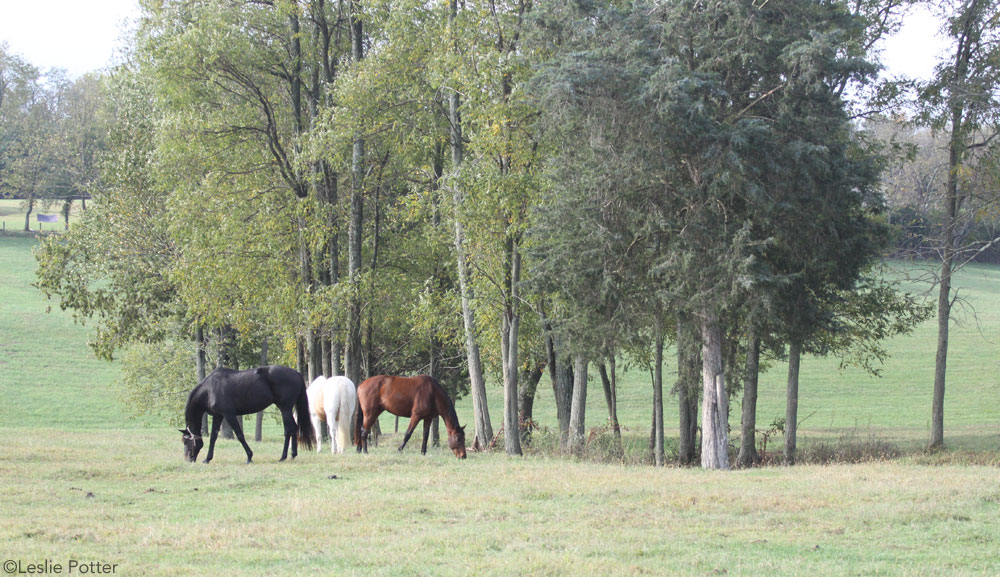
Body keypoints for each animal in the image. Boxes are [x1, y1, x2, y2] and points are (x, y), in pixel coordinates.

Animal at [181, 364, 316, 464]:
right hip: (287, 410)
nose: (188, 460)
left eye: (185, 442)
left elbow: (240, 435)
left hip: (285, 409)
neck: (210, 389)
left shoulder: (229, 415)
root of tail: (296, 373)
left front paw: (249, 457)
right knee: (294, 428)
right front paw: (207, 459)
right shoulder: (218, 415)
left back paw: (283, 457)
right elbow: (213, 437)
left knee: (289, 430)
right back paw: (293, 455)